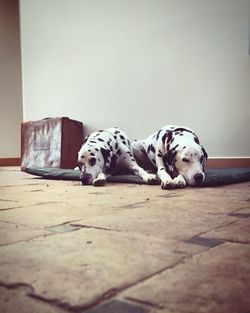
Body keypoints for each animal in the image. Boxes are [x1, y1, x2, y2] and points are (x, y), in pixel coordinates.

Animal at [77, 125, 207, 189]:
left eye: (93, 160)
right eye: (80, 163)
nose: (83, 179)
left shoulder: (132, 164)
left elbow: (141, 170)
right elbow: (163, 172)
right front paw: (167, 180)